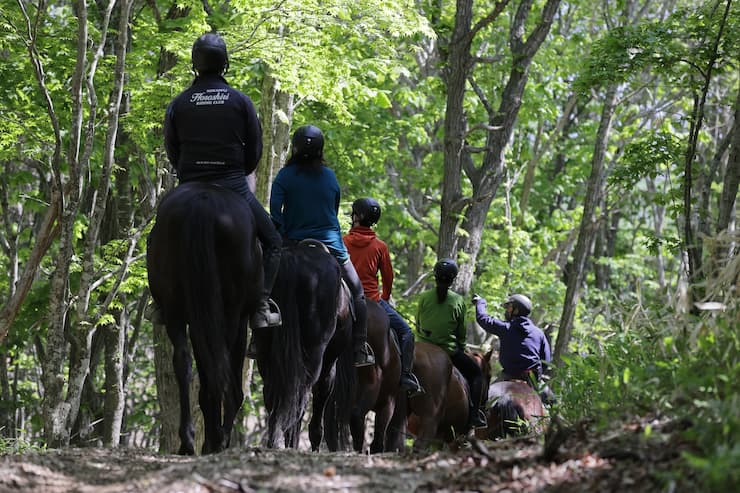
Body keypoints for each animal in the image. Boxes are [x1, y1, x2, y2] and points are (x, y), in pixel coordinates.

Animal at [146, 181, 262, 454]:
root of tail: (203, 203)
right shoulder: (240, 319)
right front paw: (218, 437)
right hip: (228, 314)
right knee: (220, 365)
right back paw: (216, 439)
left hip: (176, 310)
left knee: (184, 362)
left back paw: (188, 441)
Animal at [254, 240, 352, 448]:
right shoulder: (329, 365)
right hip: (314, 355)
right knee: (300, 396)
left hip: (265, 350)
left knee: (273, 393)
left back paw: (275, 439)